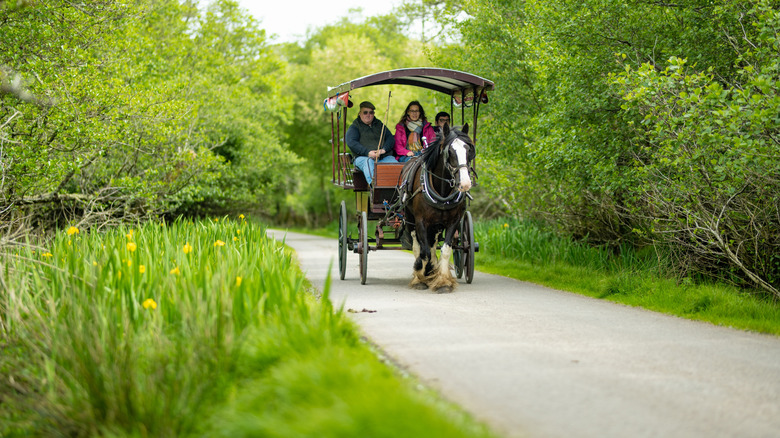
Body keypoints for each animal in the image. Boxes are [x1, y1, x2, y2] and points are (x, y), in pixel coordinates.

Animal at [402, 123, 476, 292]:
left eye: (469, 150)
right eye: (450, 152)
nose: (465, 183)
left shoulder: (453, 221)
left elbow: (445, 250)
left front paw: (442, 281)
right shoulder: (420, 221)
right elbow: (423, 251)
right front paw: (420, 275)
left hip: (436, 224)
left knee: (433, 243)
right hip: (409, 218)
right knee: (417, 246)